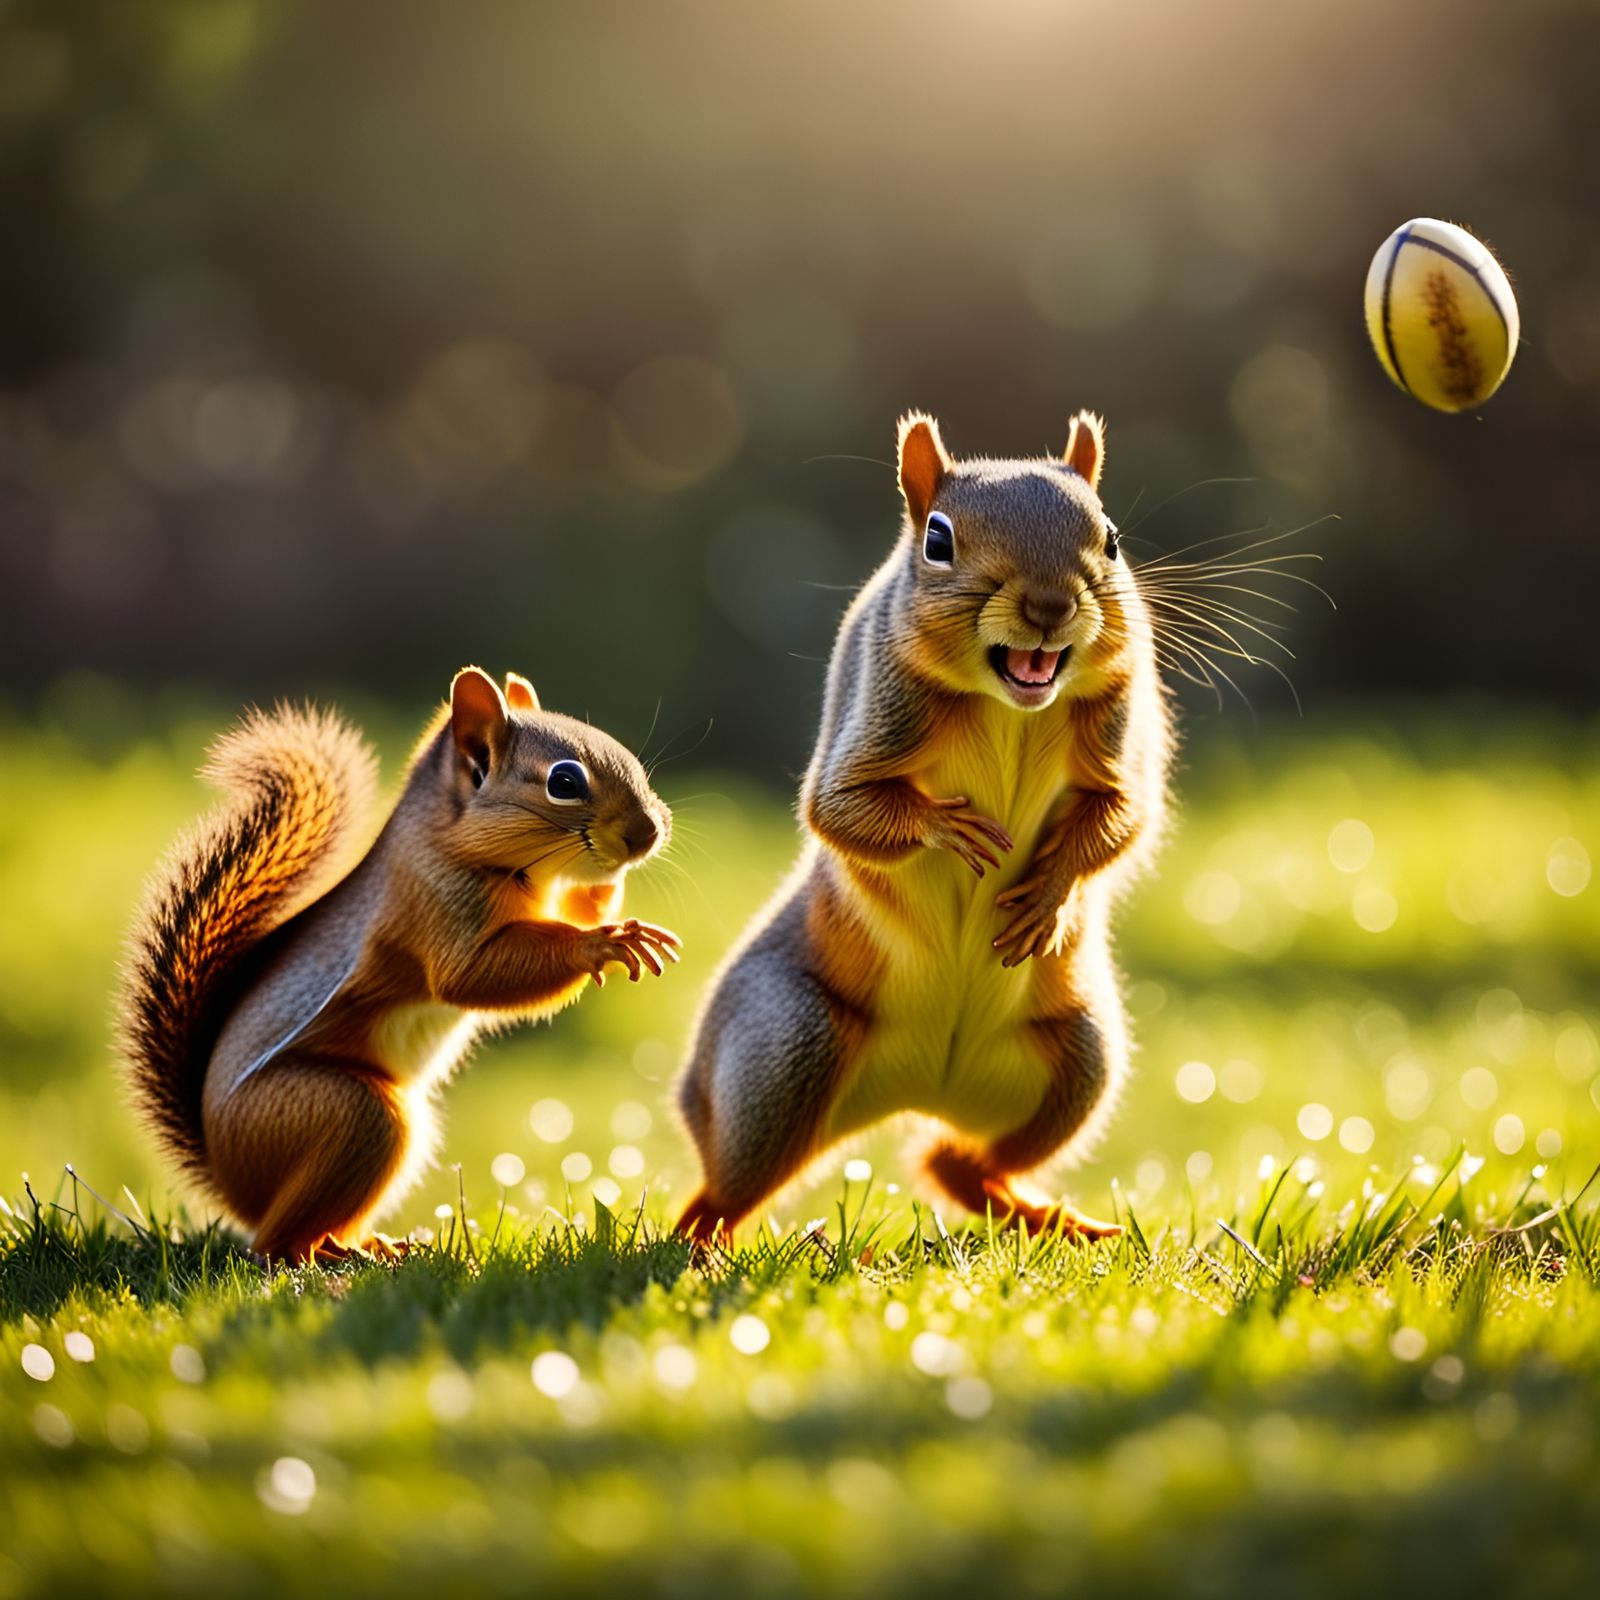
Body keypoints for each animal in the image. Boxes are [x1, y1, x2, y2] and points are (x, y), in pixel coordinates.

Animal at [120, 666, 679, 1263]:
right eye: (565, 783)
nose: (648, 832)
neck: (446, 841)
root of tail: (231, 1182)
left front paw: (609, 903)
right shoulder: (437, 907)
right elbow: (472, 976)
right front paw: (601, 944)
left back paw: (377, 1243)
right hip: (352, 1115)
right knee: (274, 1245)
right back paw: (331, 1253)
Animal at [676, 410, 1171, 1240]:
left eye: (1111, 539)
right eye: (938, 540)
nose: (1049, 607)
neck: (1010, 705)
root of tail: (919, 1089)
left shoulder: (1118, 735)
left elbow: (1122, 818)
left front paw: (1050, 896)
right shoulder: (876, 709)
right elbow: (840, 810)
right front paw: (948, 831)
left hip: (1079, 1057)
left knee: (956, 1163)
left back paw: (1056, 1222)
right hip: (785, 1050)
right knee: (725, 1187)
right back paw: (700, 1243)